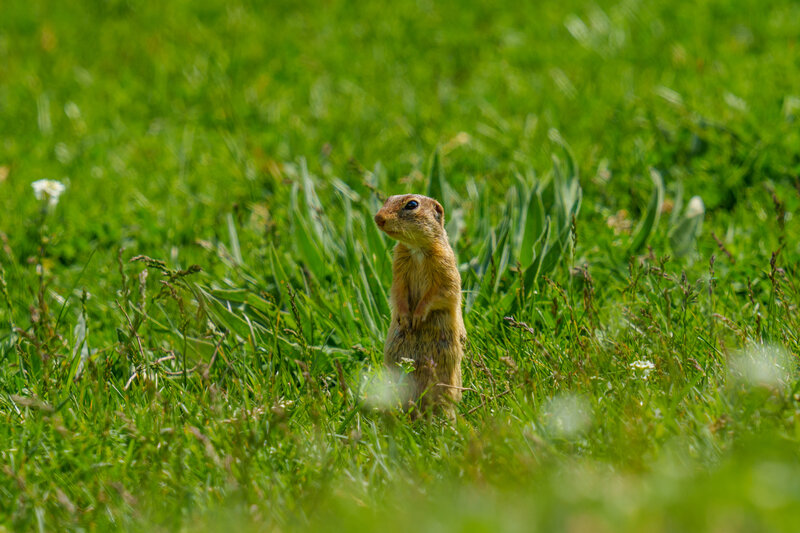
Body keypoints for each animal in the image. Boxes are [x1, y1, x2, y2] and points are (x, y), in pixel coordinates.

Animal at [374, 194, 466, 419]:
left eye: (412, 204)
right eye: (388, 199)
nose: (378, 218)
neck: (416, 249)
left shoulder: (444, 266)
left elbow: (441, 292)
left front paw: (416, 317)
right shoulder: (398, 268)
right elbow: (398, 292)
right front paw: (405, 318)